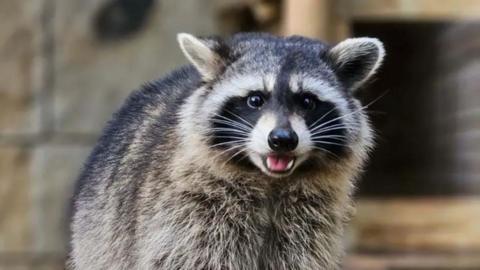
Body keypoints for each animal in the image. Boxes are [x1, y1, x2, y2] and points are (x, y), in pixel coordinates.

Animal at [68, 32, 382, 270]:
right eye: (255, 99)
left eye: (307, 101)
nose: (282, 139)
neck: (269, 181)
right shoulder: (188, 208)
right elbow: (192, 259)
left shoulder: (310, 222)